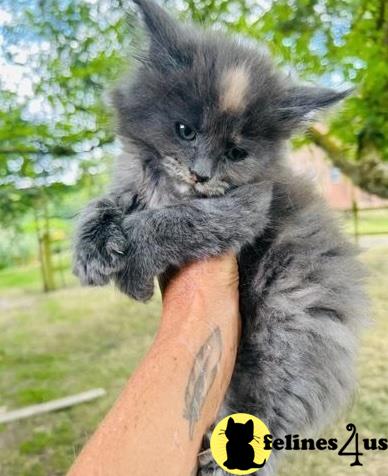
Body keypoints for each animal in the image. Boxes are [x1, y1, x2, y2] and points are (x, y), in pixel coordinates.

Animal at [73, 1, 366, 474]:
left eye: (236, 153)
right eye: (185, 130)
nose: (202, 174)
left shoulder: (248, 206)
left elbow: (177, 221)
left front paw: (133, 269)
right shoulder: (133, 178)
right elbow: (105, 202)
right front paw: (92, 248)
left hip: (291, 327)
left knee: (279, 407)